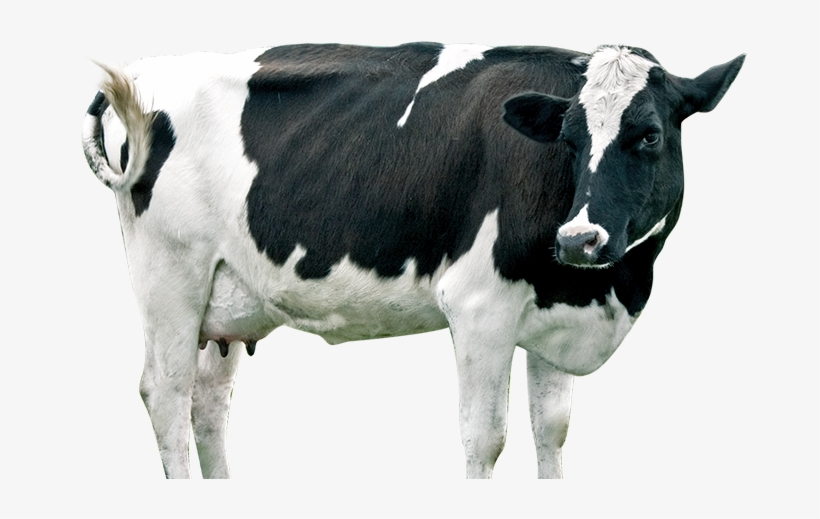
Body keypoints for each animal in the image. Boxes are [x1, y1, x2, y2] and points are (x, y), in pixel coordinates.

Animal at [82, 42, 743, 479]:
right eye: (569, 138)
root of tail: (147, 70)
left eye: (650, 134)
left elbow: (551, 430)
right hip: (171, 279)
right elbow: (485, 438)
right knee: (166, 395)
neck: (607, 292)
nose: (580, 239)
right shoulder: (479, 307)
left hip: (225, 299)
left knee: (208, 404)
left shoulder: (558, 314)